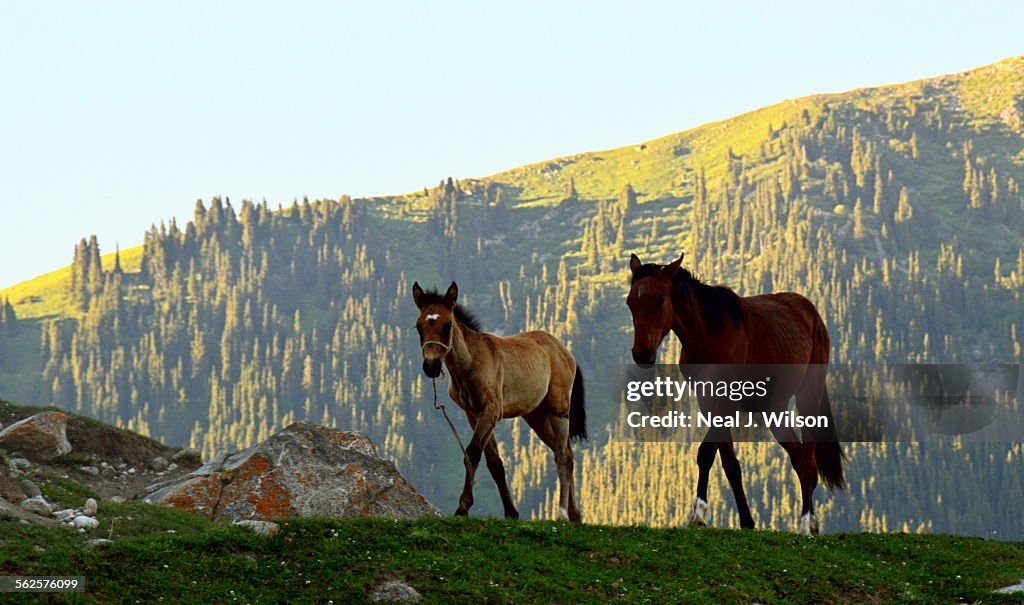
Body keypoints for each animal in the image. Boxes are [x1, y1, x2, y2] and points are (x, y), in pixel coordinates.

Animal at [407, 282, 585, 524]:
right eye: (418, 326)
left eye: (448, 325)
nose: (431, 366)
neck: (470, 363)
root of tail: (565, 352)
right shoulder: (474, 415)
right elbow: (494, 463)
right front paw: (511, 512)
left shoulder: (490, 411)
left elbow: (472, 452)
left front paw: (463, 507)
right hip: (536, 416)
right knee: (567, 451)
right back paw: (575, 513)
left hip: (558, 409)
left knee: (563, 455)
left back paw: (562, 512)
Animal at [622, 252, 847, 532]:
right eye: (631, 302)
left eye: (660, 299)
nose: (642, 354)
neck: (708, 333)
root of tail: (811, 312)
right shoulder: (709, 401)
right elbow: (726, 462)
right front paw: (741, 520)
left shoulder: (726, 402)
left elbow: (709, 453)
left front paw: (702, 514)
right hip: (774, 407)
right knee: (798, 455)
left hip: (808, 395)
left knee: (807, 458)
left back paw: (808, 523)